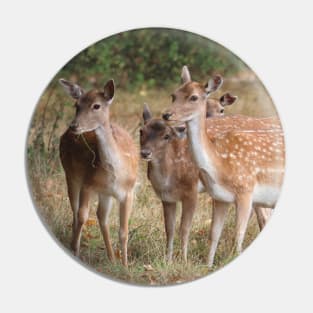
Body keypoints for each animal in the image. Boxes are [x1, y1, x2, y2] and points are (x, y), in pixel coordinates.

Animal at [58, 78, 137, 266]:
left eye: (96, 106)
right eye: (76, 105)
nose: (74, 125)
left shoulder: (129, 191)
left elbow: (124, 231)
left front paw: (125, 266)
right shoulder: (87, 183)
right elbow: (82, 216)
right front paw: (75, 250)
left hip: (104, 193)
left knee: (102, 217)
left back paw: (111, 258)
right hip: (70, 174)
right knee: (75, 211)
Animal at [162, 65, 284, 266]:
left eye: (193, 97)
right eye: (173, 95)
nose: (166, 114)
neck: (220, 164)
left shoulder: (246, 191)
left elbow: (238, 235)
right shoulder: (220, 198)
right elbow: (214, 234)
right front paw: (208, 266)